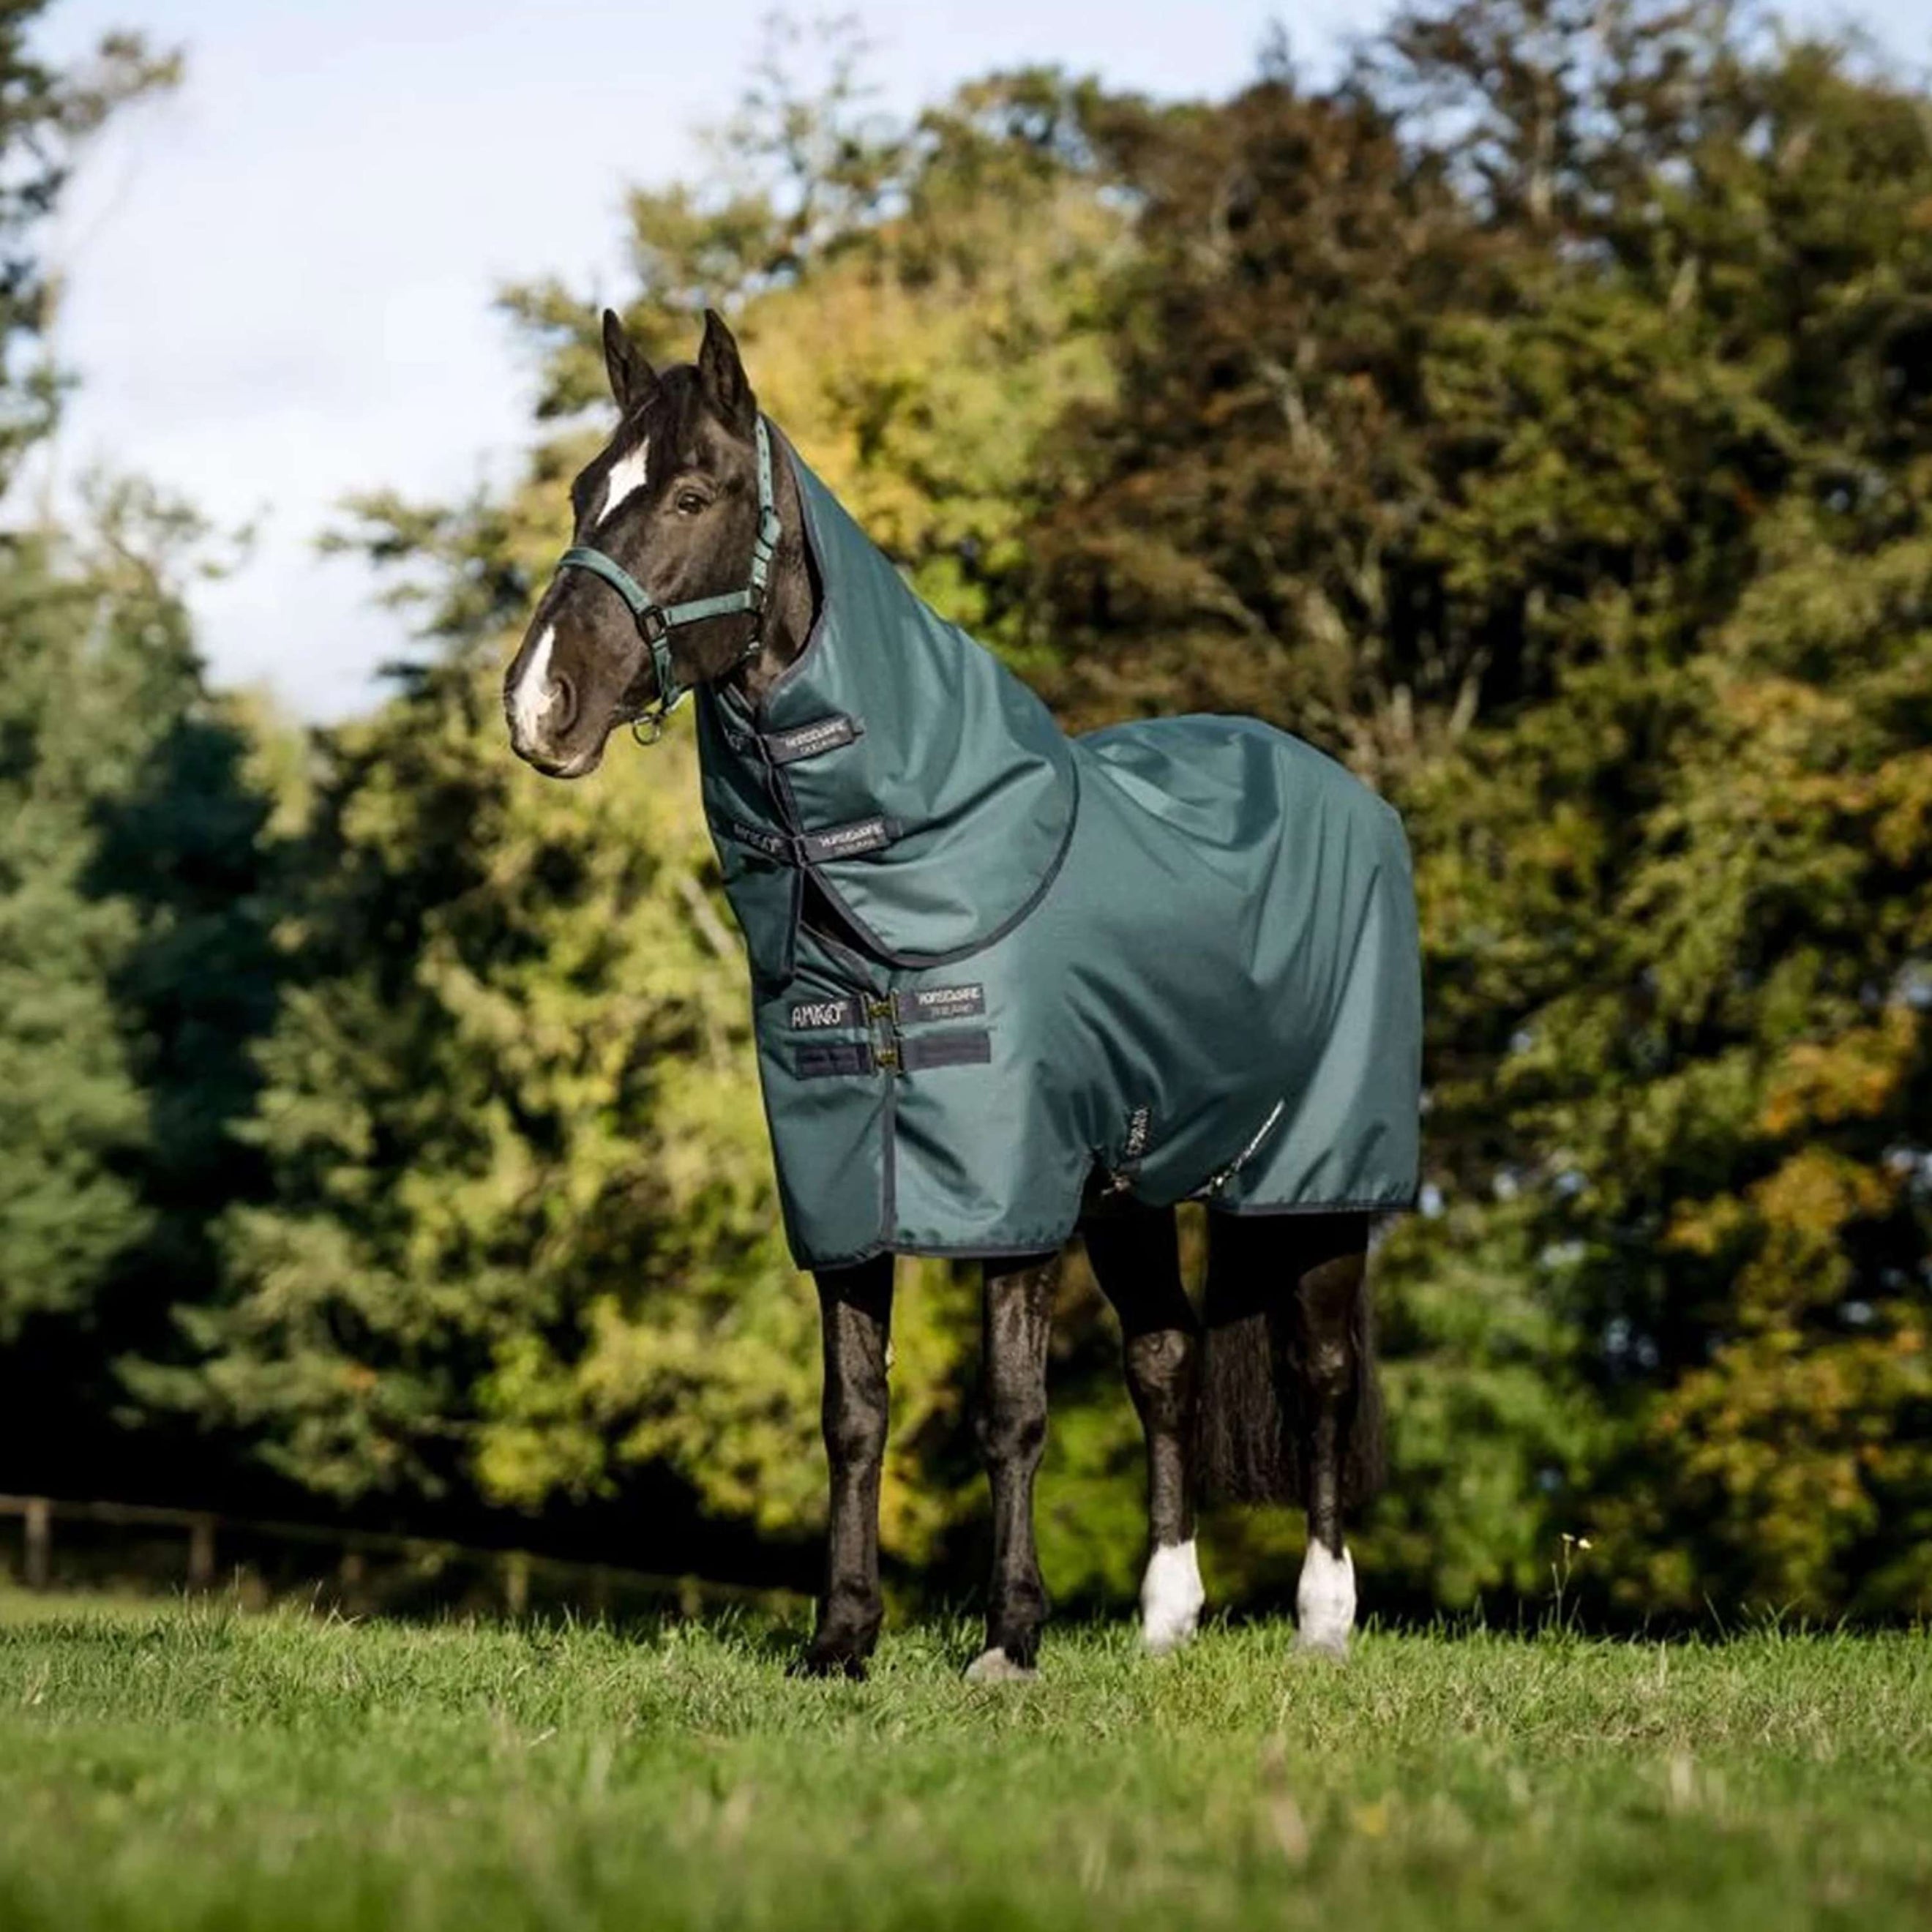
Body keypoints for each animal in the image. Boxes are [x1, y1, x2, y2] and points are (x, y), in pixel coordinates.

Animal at [504, 308, 1421, 1680]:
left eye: (692, 495)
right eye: (581, 493)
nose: (536, 705)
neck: (906, 880)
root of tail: (1347, 793)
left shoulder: (1014, 1200)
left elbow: (1012, 1411)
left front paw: (1009, 1640)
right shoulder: (844, 1191)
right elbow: (852, 1412)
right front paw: (840, 1638)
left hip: (1315, 1182)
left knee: (1317, 1372)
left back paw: (1323, 1620)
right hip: (1135, 1187)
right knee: (1167, 1364)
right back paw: (1166, 1620)